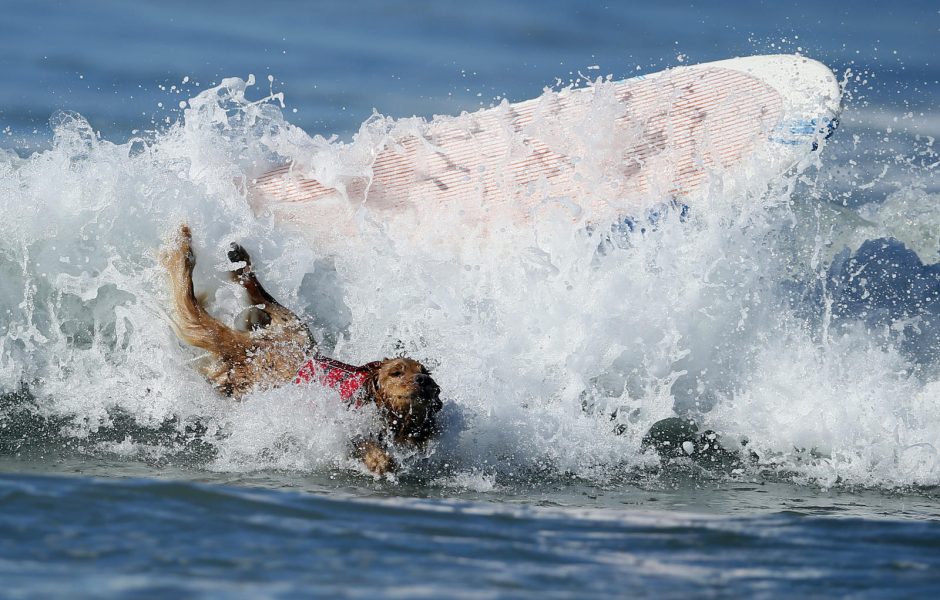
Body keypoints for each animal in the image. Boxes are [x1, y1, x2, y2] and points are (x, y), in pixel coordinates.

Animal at [163, 223, 442, 476]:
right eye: (396, 373)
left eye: (425, 371)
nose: (423, 380)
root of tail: (252, 347)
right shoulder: (345, 427)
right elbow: (369, 447)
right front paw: (380, 461)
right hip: (288, 343)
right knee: (264, 298)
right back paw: (233, 259)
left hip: (296, 332)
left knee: (262, 298)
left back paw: (239, 260)